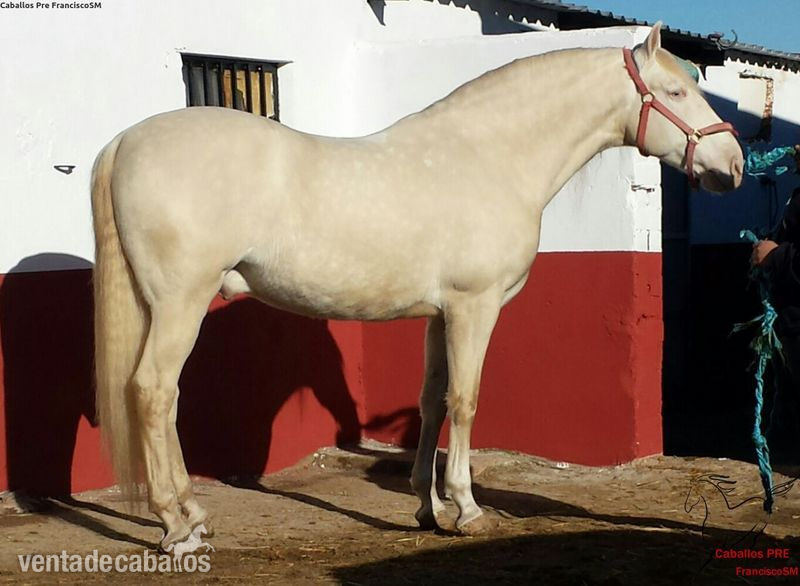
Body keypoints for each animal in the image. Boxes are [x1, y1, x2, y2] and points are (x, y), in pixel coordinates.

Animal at [91, 23, 743, 548]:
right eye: (677, 93)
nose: (734, 166)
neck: (490, 157)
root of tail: (126, 141)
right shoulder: (475, 307)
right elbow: (467, 399)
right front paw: (468, 509)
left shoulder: (438, 313)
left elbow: (432, 400)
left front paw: (427, 509)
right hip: (181, 302)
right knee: (153, 392)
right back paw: (176, 527)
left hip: (159, 306)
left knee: (163, 398)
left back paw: (193, 513)